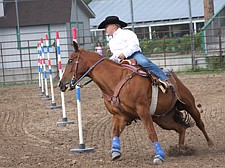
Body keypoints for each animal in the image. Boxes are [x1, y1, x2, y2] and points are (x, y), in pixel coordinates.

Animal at [59, 41, 214, 165]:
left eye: (71, 60)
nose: (61, 84)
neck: (115, 80)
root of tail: (173, 76)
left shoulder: (143, 110)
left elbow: (151, 133)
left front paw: (159, 156)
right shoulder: (120, 116)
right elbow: (115, 132)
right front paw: (115, 152)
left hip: (189, 104)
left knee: (200, 123)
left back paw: (211, 145)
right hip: (163, 119)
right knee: (181, 128)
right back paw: (181, 149)